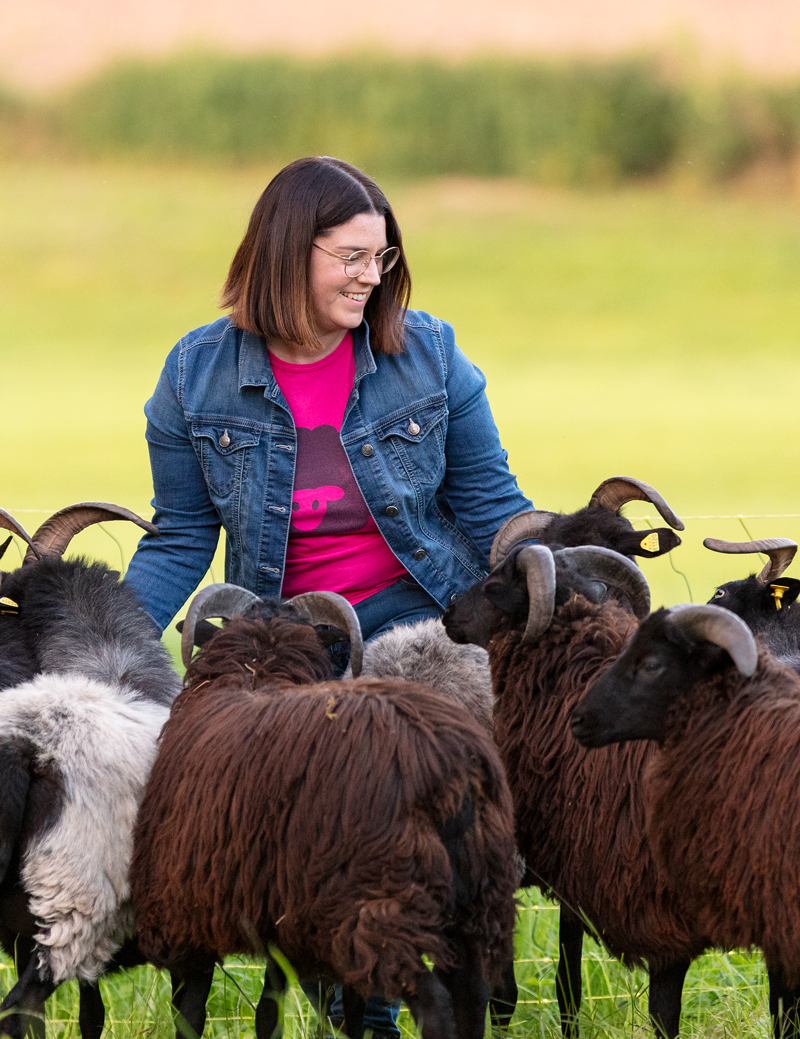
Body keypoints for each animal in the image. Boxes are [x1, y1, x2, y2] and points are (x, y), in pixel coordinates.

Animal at [129, 590, 517, 1039]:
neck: (259, 672)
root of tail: (448, 766)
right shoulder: (275, 912)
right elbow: (272, 1009)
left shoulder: (184, 910)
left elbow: (190, 1013)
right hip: (478, 899)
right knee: (473, 994)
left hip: (378, 906)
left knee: (434, 1002)